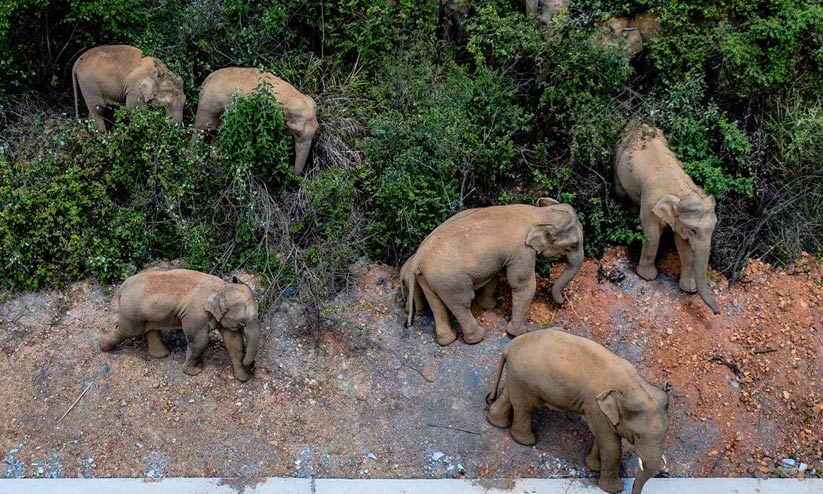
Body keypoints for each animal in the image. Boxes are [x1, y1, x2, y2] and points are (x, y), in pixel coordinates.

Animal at [99, 268, 260, 382]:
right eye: (243, 322)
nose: (252, 366)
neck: (222, 287)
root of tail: (122, 288)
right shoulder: (196, 315)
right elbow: (199, 341)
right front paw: (194, 372)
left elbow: (234, 341)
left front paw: (242, 378)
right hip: (132, 312)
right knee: (125, 331)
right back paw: (103, 347)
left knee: (149, 329)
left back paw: (162, 355)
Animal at [401, 198, 584, 345]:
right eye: (573, 245)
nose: (562, 302)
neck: (539, 214)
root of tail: (418, 259)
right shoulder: (522, 251)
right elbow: (523, 285)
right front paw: (519, 333)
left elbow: (495, 275)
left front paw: (489, 306)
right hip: (450, 281)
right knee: (462, 303)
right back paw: (477, 338)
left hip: (428, 278)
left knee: (436, 304)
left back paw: (447, 340)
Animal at [486, 327, 669, 494]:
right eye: (637, 436)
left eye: (665, 434)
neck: (633, 384)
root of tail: (510, 345)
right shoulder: (595, 405)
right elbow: (611, 446)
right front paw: (614, 489)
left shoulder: (598, 410)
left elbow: (600, 437)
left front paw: (593, 466)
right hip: (525, 378)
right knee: (525, 408)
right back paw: (528, 441)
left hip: (517, 376)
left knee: (510, 396)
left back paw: (496, 422)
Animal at [614, 123, 721, 314]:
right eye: (693, 230)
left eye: (713, 228)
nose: (717, 312)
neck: (681, 190)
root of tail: (637, 123)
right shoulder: (650, 201)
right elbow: (652, 234)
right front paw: (647, 277)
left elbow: (683, 244)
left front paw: (689, 289)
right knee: (620, 192)